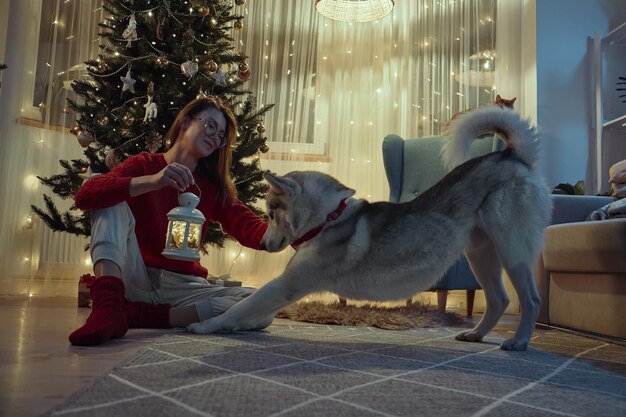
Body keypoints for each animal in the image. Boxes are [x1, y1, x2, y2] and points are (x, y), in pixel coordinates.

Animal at [188, 106, 548, 348]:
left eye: (272, 213)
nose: (264, 244)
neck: (328, 220)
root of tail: (511, 156)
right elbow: (247, 310)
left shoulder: (288, 284)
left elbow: (243, 306)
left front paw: (208, 326)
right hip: (480, 254)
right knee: (499, 299)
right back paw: (476, 334)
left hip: (511, 251)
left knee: (530, 299)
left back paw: (518, 341)